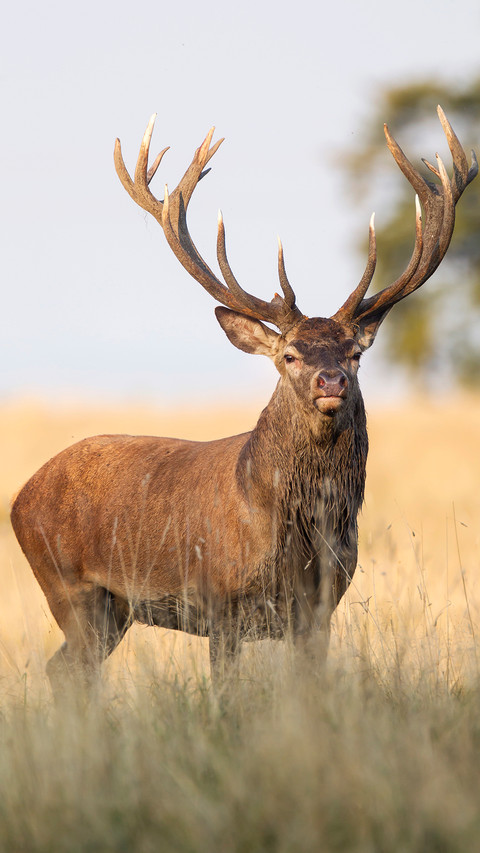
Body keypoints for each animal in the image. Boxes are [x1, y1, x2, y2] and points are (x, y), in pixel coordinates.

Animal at [10, 107, 477, 696]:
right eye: (290, 355)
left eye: (355, 353)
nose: (331, 381)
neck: (295, 534)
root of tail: (20, 496)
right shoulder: (219, 602)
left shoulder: (320, 609)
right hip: (67, 585)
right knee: (69, 666)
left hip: (113, 609)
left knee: (67, 668)